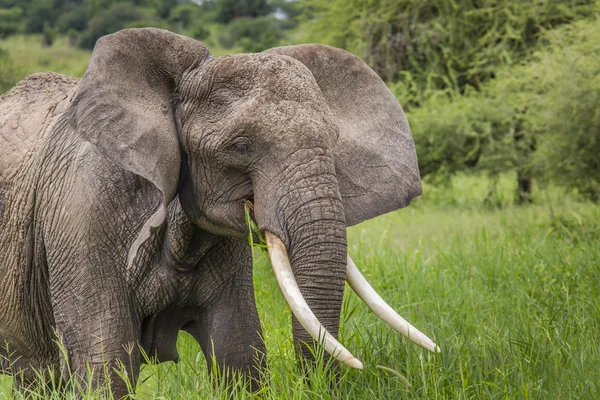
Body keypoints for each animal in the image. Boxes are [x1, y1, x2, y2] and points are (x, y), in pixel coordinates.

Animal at [1, 26, 440, 396]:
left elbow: (239, 353)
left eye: (332, 142)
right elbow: (106, 363)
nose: (324, 384)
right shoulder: (83, 213)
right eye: (241, 146)